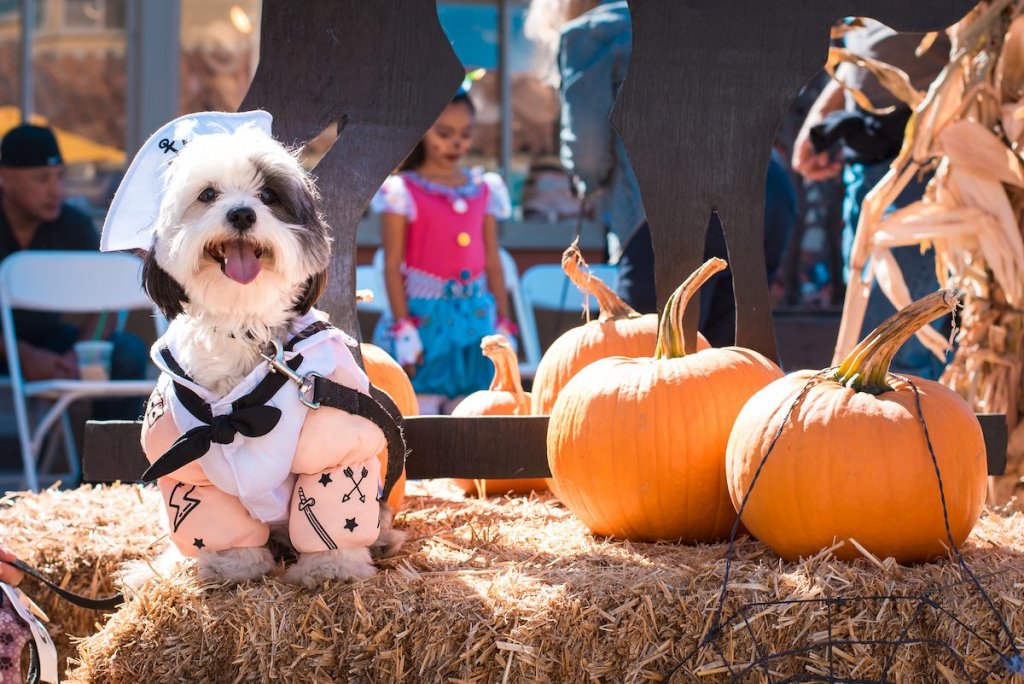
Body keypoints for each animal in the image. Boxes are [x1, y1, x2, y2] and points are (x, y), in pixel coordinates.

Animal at [134, 124, 405, 589]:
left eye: (268, 195)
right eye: (208, 194)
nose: (243, 214)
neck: (246, 329)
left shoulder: (337, 444)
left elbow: (331, 503)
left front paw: (331, 568)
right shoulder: (186, 465)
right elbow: (216, 524)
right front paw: (231, 567)